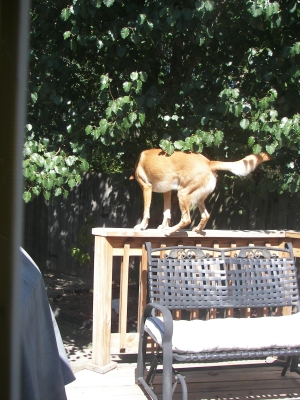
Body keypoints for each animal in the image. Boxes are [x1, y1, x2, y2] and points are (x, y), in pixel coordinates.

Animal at [132, 148, 270, 234]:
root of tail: (208, 162)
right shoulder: (167, 192)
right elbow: (167, 212)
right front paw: (163, 226)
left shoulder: (147, 188)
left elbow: (146, 212)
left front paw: (142, 226)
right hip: (197, 198)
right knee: (205, 215)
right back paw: (197, 229)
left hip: (182, 194)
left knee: (186, 219)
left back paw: (170, 231)